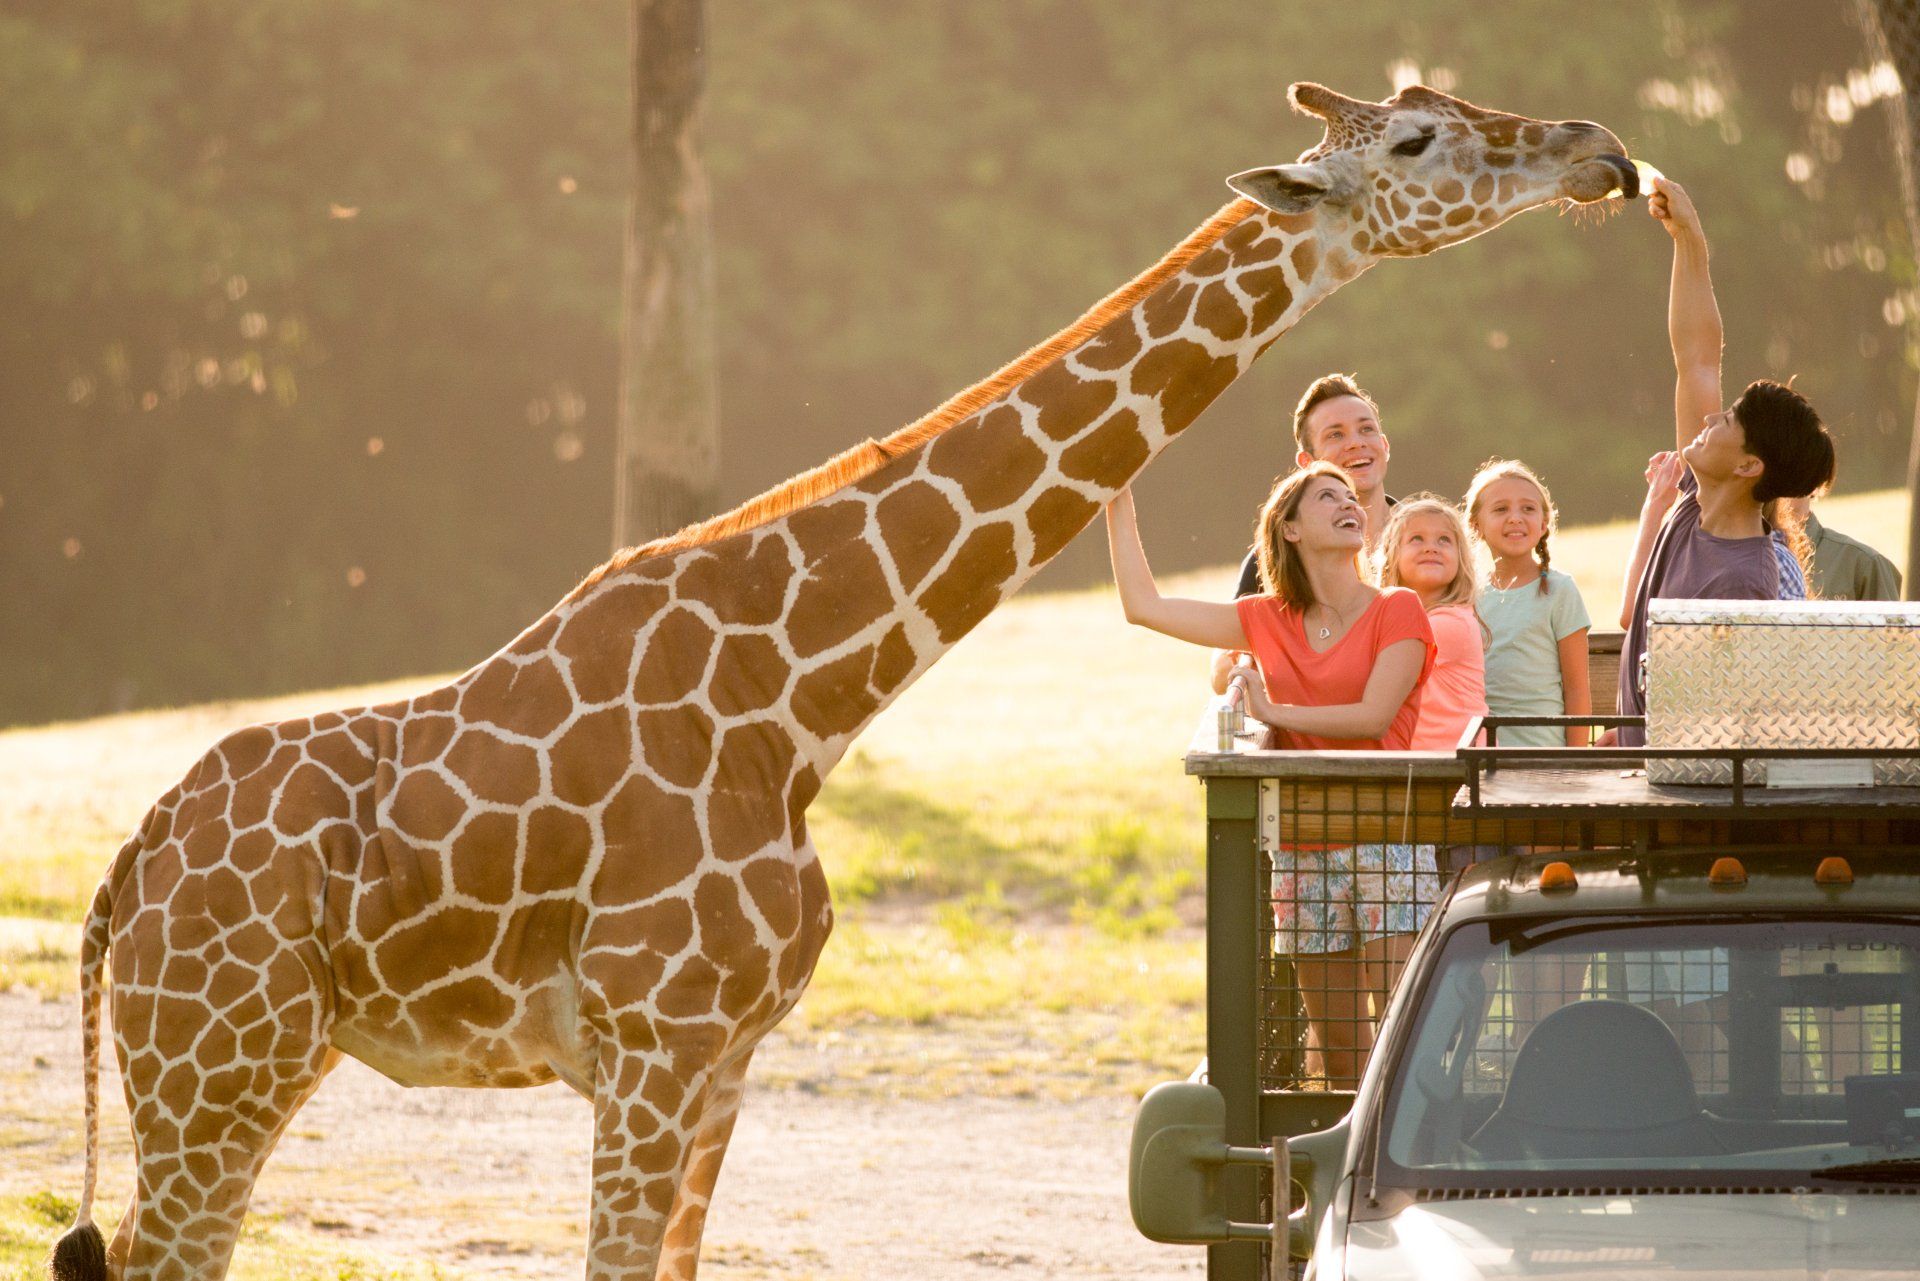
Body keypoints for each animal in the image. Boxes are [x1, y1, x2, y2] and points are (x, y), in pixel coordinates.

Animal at [49, 83, 1634, 1281]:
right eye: (1415, 142)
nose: (1599, 149)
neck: (798, 697)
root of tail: (124, 875)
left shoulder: (723, 1063)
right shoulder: (651, 1046)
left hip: (247, 1064)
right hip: (214, 1064)